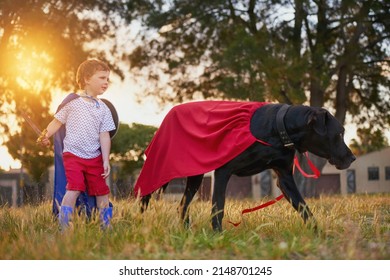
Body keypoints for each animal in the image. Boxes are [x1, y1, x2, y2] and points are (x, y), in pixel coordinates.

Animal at [140, 104, 356, 231]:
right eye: (339, 133)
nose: (353, 157)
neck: (278, 128)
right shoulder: (223, 172)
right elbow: (218, 206)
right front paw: (217, 235)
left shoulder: (284, 177)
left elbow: (304, 207)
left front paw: (318, 233)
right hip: (162, 166)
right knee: (145, 195)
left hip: (195, 175)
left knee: (182, 205)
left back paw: (185, 230)